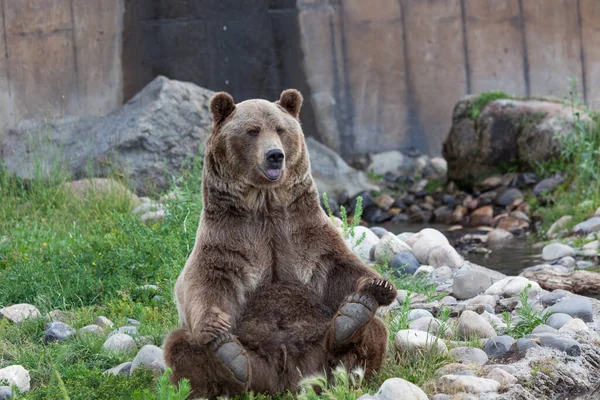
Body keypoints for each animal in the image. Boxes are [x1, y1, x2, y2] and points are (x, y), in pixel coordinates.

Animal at [164, 86, 398, 396]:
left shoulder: (303, 231)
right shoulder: (228, 238)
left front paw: (379, 285)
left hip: (317, 349)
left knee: (373, 332)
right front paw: (214, 325)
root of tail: (287, 380)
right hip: (254, 357)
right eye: (252, 131)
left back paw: (352, 318)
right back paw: (231, 360)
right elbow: (205, 280)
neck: (265, 203)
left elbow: (339, 266)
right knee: (182, 346)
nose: (275, 155)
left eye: (281, 129)